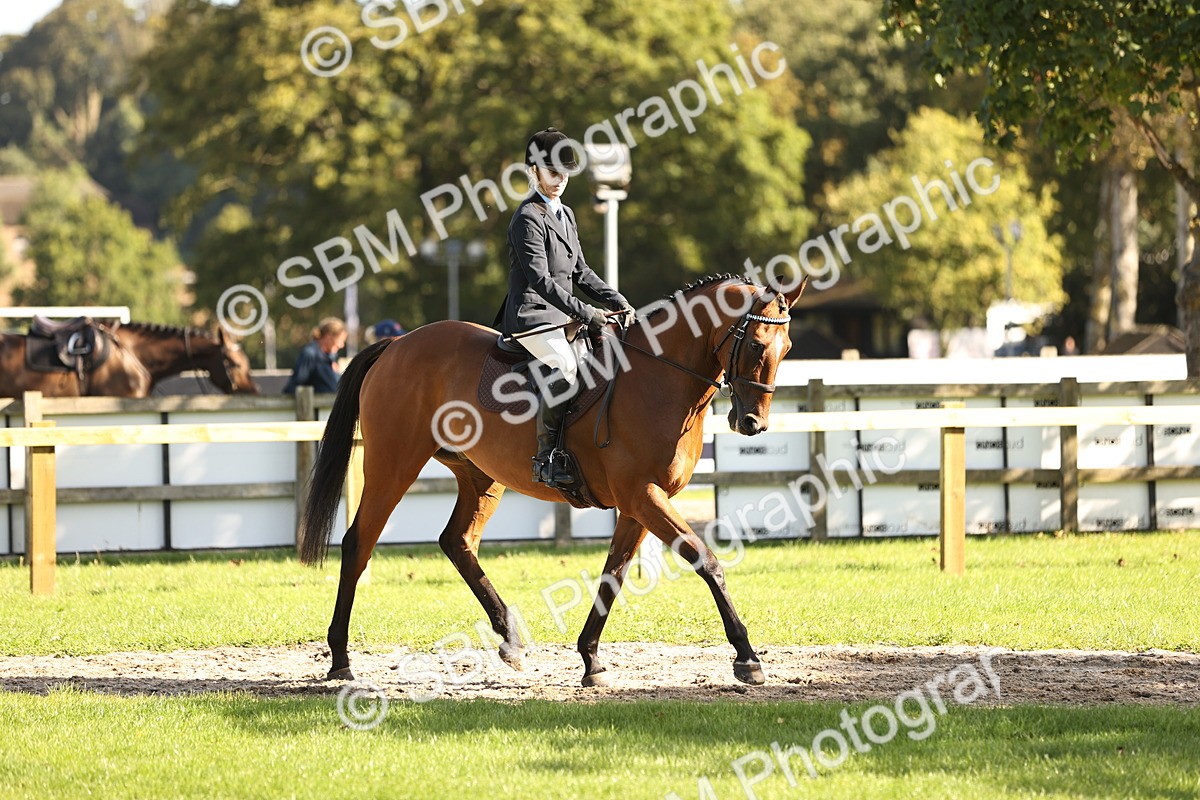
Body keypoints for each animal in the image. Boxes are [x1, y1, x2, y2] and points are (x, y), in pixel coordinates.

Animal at [298, 275, 806, 688]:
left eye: (787, 350)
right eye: (757, 346)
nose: (752, 424)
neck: (658, 377)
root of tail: (398, 343)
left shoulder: (639, 504)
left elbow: (613, 575)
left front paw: (591, 660)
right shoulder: (644, 496)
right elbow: (707, 561)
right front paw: (747, 657)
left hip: (480, 476)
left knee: (457, 541)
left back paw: (510, 640)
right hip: (393, 465)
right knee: (358, 543)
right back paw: (341, 659)